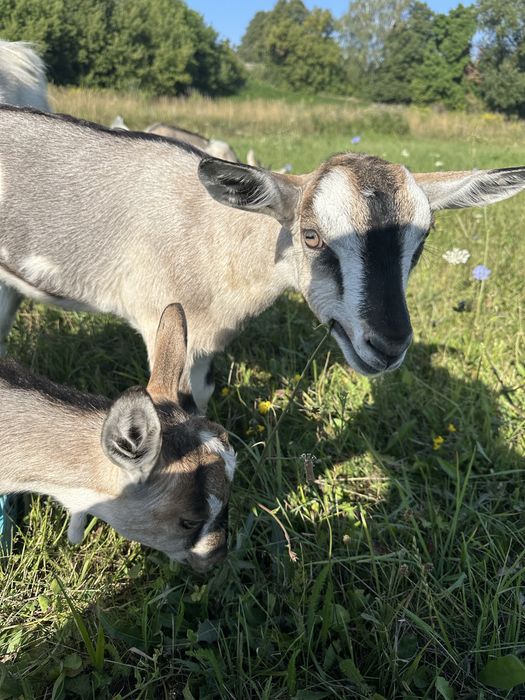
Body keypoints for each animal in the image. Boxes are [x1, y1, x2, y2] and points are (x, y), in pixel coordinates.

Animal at [1, 106, 525, 412]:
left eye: (420, 243)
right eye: (311, 236)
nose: (388, 345)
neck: (216, 235)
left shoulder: (203, 347)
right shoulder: (161, 323)